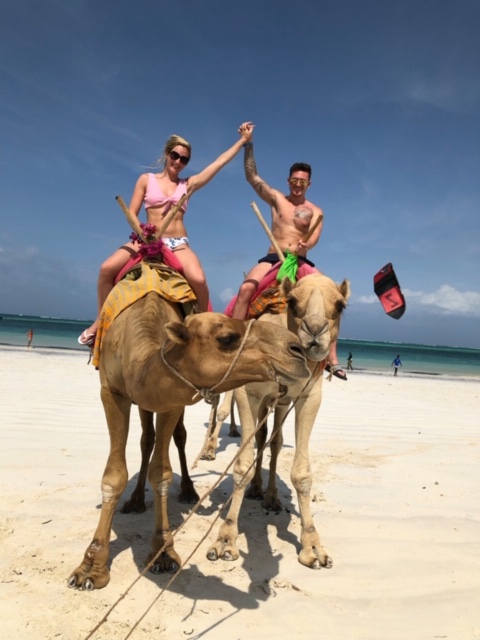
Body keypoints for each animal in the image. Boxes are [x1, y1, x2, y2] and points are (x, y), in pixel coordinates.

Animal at [66, 290, 308, 592]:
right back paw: (135, 501)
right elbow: (114, 477)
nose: (297, 350)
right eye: (227, 338)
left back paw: (188, 491)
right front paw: (90, 568)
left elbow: (161, 472)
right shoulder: (111, 391)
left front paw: (163, 553)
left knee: (174, 438)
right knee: (147, 439)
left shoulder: (171, 399)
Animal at [206, 276, 348, 568]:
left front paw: (313, 547)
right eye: (292, 301)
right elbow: (242, 465)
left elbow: (301, 472)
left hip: (280, 403)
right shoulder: (247, 392)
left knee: (274, 441)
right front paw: (224, 540)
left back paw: (270, 497)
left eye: (341, 305)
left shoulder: (309, 396)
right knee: (256, 436)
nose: (314, 332)